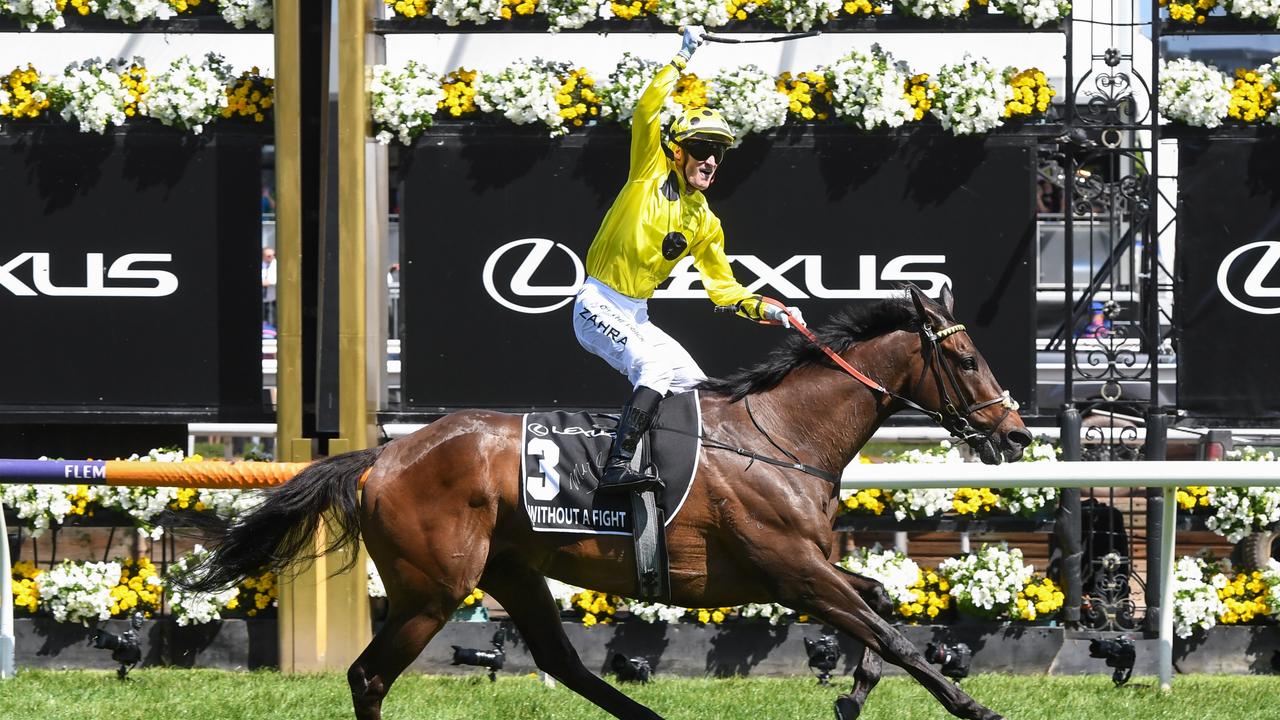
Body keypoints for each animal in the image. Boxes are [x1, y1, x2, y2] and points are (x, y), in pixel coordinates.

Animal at [177, 284, 1029, 717]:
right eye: (965, 358)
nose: (1016, 432)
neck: (781, 434)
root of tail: (387, 454)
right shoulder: (790, 569)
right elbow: (890, 632)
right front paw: (967, 703)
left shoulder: (805, 567)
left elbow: (880, 606)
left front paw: (855, 694)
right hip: (431, 588)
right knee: (367, 677)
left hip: (512, 571)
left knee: (564, 664)